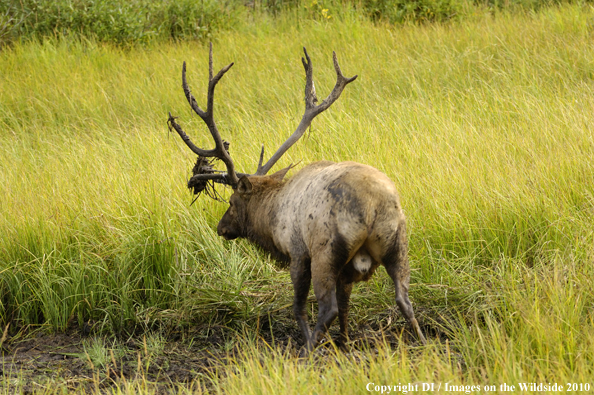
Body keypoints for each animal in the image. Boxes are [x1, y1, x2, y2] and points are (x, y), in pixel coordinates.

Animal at [166, 44, 426, 352]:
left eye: (231, 202)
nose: (221, 228)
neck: (271, 215)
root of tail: (373, 206)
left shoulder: (298, 252)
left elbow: (299, 307)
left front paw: (308, 339)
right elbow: (347, 304)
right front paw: (345, 341)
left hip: (326, 251)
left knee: (327, 308)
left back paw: (307, 349)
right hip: (399, 243)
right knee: (404, 299)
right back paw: (422, 342)